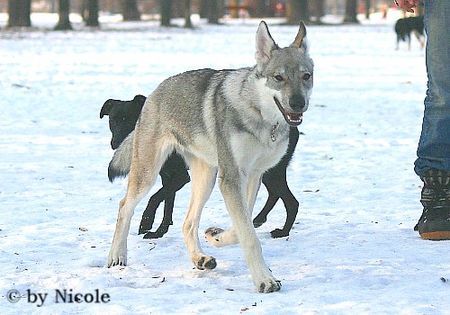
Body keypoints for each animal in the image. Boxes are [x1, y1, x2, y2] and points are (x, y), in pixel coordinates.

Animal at [100, 95, 300, 238]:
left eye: (130, 119)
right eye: (113, 120)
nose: (116, 142)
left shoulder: (180, 177)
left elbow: (156, 197)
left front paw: (146, 222)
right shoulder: (168, 177)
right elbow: (167, 203)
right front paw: (160, 231)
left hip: (270, 171)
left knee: (292, 202)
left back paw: (282, 231)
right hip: (266, 172)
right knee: (275, 194)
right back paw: (258, 219)